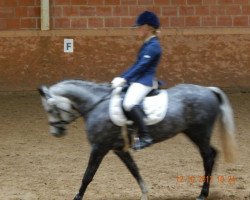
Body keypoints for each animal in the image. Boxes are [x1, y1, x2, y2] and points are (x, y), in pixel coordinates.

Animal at [38, 79, 236, 200]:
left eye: (50, 109)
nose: (55, 133)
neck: (96, 105)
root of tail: (208, 89)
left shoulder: (99, 147)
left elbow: (88, 175)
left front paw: (77, 196)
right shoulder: (119, 149)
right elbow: (134, 170)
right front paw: (145, 193)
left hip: (199, 133)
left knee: (208, 157)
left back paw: (202, 193)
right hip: (193, 133)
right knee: (212, 154)